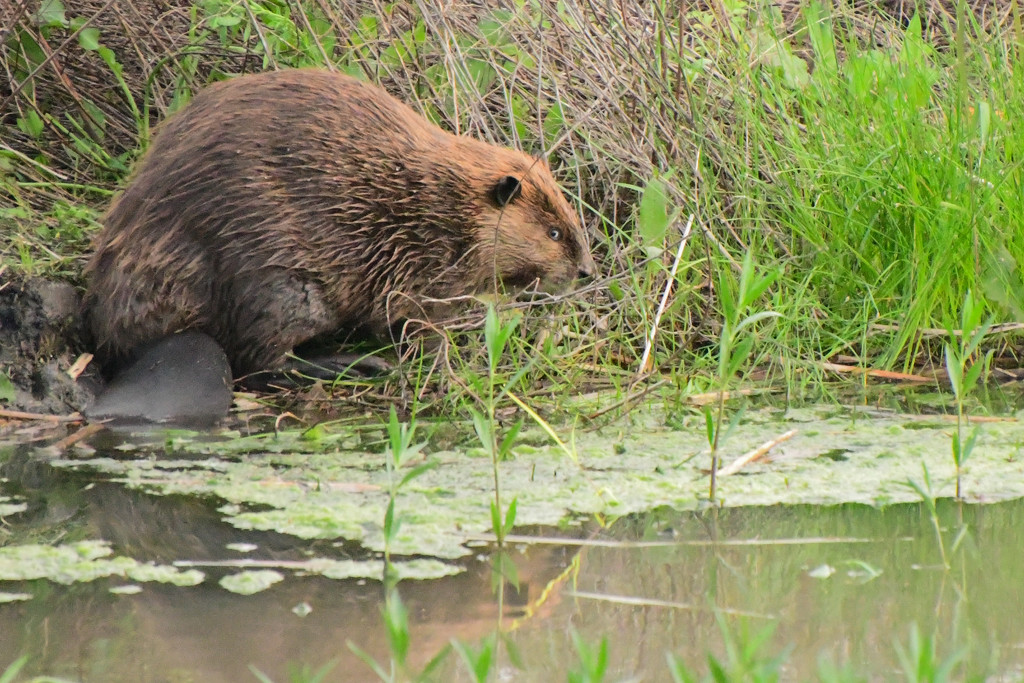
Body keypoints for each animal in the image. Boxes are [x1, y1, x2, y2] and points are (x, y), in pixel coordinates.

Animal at [83, 68, 598, 378]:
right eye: (554, 233)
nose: (587, 270)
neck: (441, 201)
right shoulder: (417, 263)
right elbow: (418, 321)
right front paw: (449, 361)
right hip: (273, 278)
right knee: (261, 359)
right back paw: (353, 364)